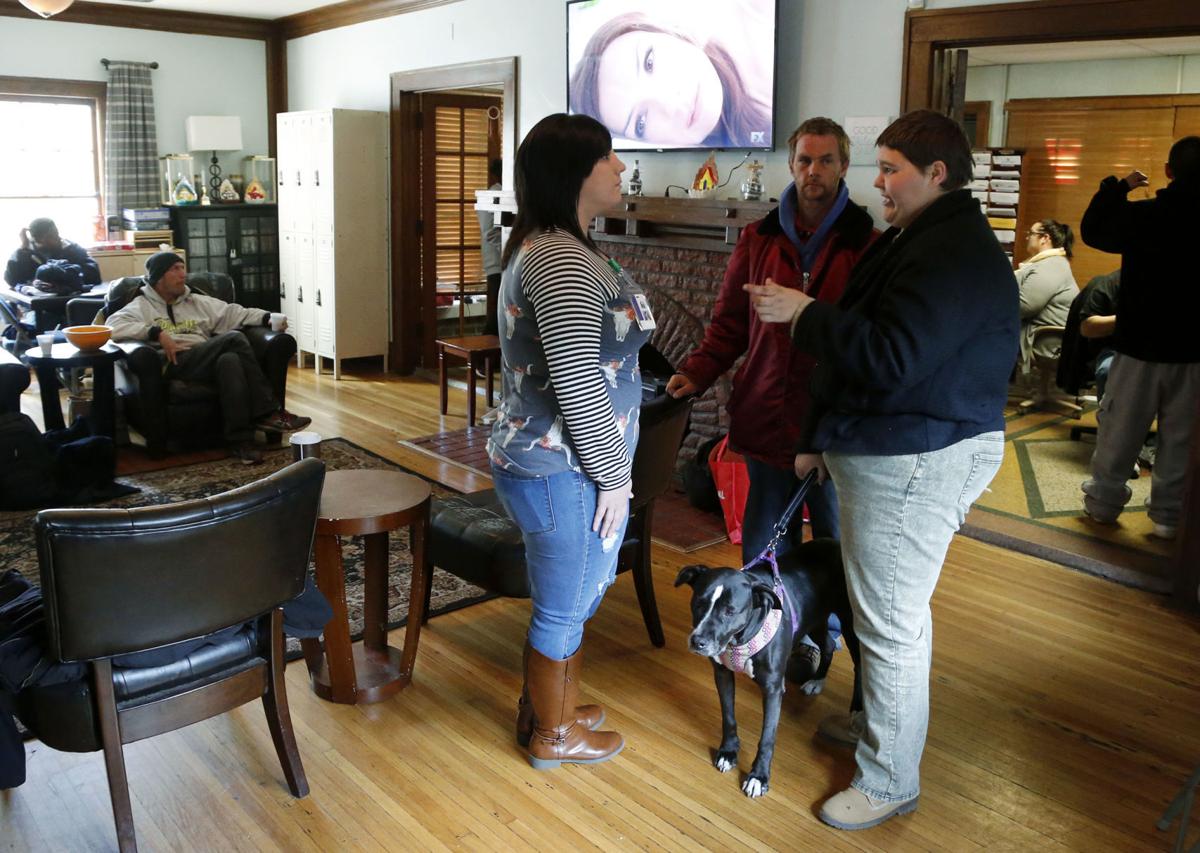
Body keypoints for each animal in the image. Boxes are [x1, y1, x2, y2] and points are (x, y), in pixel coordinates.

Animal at [674, 537, 862, 798]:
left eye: (730, 611)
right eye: (699, 603)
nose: (697, 641)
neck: (739, 638)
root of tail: (836, 541)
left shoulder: (773, 689)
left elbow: (767, 737)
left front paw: (758, 776)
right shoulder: (722, 674)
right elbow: (728, 717)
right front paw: (728, 752)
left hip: (851, 623)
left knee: (859, 665)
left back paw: (856, 708)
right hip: (814, 620)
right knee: (828, 645)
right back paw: (817, 680)